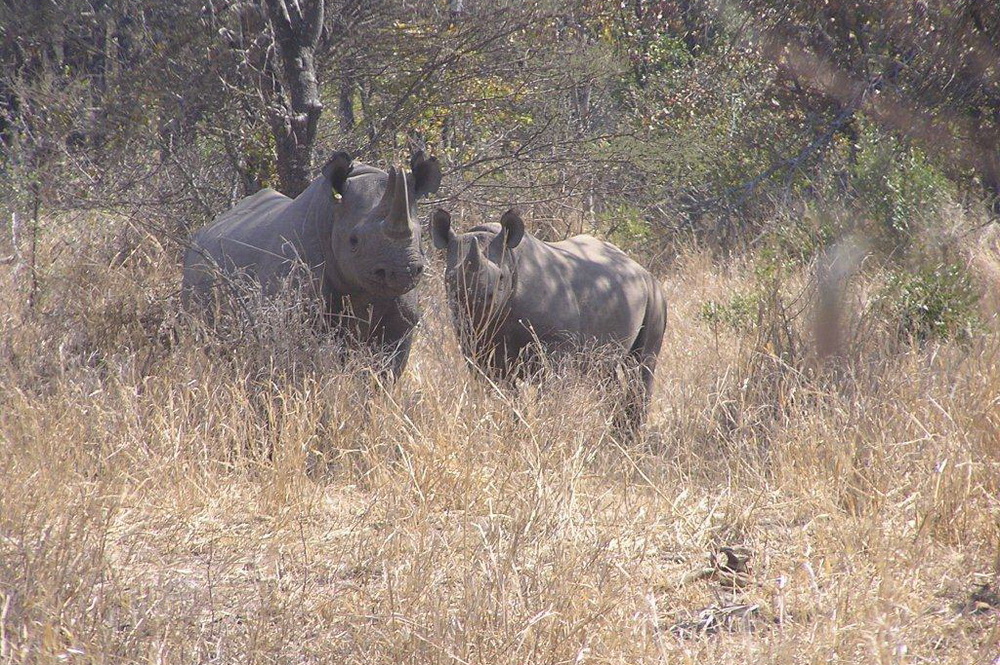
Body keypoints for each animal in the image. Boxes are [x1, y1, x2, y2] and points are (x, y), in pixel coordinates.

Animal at [431, 207, 667, 435]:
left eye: (501, 278)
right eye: (449, 278)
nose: (476, 303)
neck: (511, 259)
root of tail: (639, 268)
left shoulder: (556, 345)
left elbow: (549, 390)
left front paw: (543, 428)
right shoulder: (475, 346)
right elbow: (500, 392)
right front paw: (510, 431)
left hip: (655, 295)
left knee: (642, 366)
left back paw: (629, 438)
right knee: (605, 373)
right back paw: (617, 436)